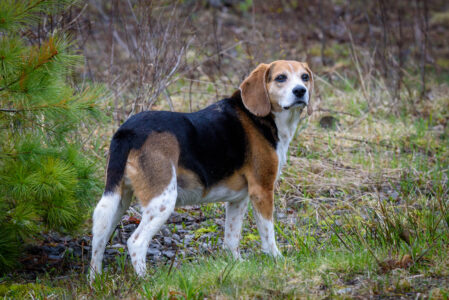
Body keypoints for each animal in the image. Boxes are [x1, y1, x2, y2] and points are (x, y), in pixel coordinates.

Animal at [89, 59, 314, 278]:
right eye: (281, 78)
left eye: (305, 77)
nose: (300, 90)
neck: (262, 118)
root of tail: (128, 130)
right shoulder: (262, 190)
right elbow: (268, 234)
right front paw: (278, 260)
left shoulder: (239, 199)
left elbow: (231, 239)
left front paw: (237, 265)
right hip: (162, 200)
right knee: (136, 242)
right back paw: (146, 280)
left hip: (118, 199)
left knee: (99, 236)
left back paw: (95, 279)